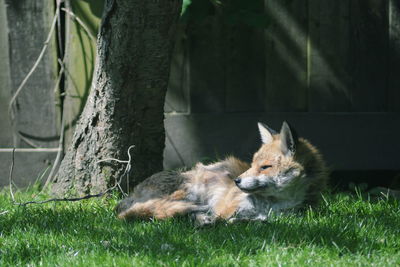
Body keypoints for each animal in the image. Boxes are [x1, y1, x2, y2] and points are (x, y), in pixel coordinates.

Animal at [115, 122, 328, 226]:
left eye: (265, 167)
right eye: (252, 164)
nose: (236, 180)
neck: (272, 204)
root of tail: (130, 195)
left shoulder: (292, 215)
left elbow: (258, 220)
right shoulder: (226, 209)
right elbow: (227, 219)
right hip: (188, 193)